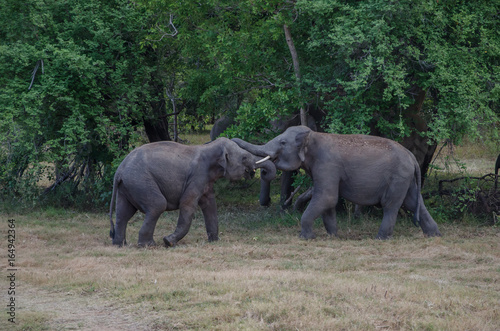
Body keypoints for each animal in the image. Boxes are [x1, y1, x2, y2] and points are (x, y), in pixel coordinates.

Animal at [108, 136, 278, 248]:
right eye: (244, 157)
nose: (258, 172)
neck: (208, 147)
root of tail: (119, 170)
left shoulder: (205, 180)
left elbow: (210, 205)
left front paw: (214, 241)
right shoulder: (197, 175)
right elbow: (188, 204)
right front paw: (168, 242)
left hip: (128, 186)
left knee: (123, 213)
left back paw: (120, 245)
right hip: (140, 181)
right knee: (157, 205)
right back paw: (148, 245)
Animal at [232, 126, 440, 240]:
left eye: (282, 143)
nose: (232, 138)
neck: (314, 135)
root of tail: (412, 157)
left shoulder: (327, 165)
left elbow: (327, 197)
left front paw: (306, 238)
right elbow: (329, 202)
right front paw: (333, 236)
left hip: (398, 178)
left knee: (391, 205)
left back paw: (380, 239)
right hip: (406, 179)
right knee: (413, 203)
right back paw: (434, 235)